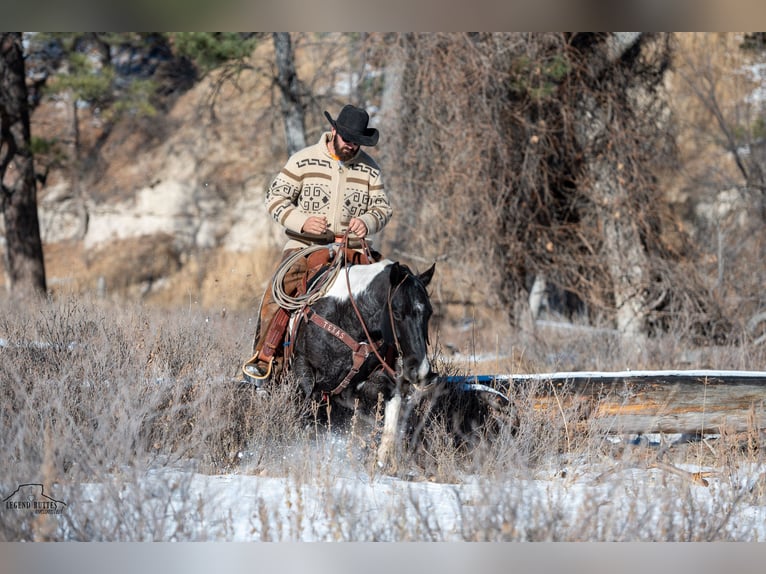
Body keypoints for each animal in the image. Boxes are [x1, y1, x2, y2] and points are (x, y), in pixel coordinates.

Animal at [284, 258, 438, 470]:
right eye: (397, 313)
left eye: (429, 313)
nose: (421, 371)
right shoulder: (305, 375)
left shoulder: (370, 384)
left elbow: (391, 411)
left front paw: (382, 459)